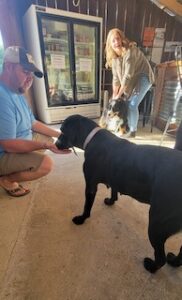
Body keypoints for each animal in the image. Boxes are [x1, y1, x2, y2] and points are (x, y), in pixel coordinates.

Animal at [55, 115, 182, 274]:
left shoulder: (90, 185)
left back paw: (151, 267)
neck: (91, 137)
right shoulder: (114, 177)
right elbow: (114, 191)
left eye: (63, 130)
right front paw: (111, 201)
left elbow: (86, 207)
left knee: (161, 258)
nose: (56, 144)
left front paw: (81, 218)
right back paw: (175, 262)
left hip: (156, 224)